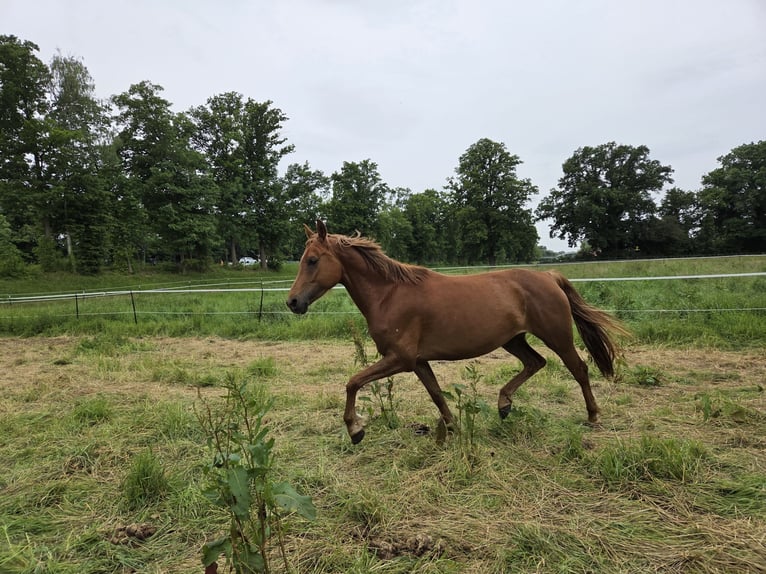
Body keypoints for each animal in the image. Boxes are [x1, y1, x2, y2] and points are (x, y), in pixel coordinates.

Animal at [286, 220, 629, 444]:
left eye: (313, 260)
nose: (292, 302)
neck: (389, 294)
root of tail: (549, 275)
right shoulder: (417, 361)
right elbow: (436, 394)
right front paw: (454, 429)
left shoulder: (400, 359)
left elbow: (353, 382)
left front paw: (355, 430)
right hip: (513, 340)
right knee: (536, 362)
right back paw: (504, 405)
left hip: (557, 336)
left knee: (579, 368)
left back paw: (593, 417)